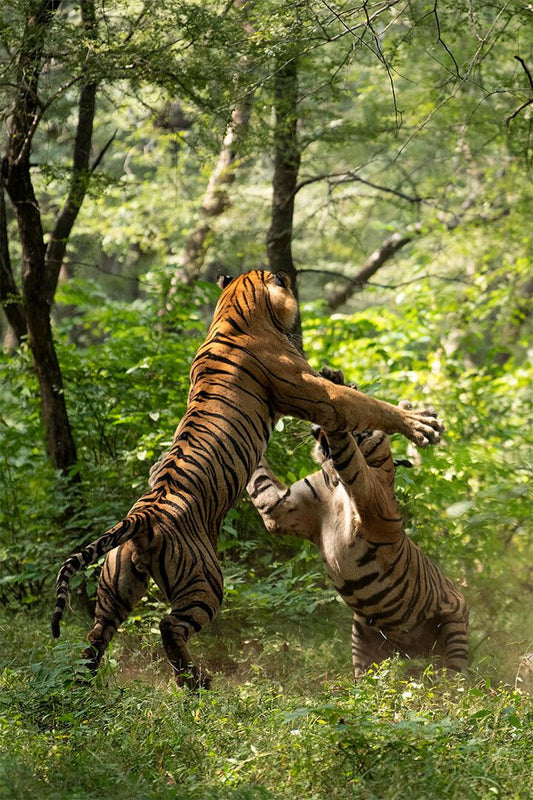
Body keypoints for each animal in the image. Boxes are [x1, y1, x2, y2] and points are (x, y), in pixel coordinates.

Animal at [51, 270, 444, 689]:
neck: (235, 310)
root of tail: (143, 518)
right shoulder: (319, 395)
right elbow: (371, 406)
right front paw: (421, 423)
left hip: (116, 585)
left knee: (96, 634)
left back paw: (84, 683)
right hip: (205, 581)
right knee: (169, 626)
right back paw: (197, 680)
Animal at [247, 367, 468, 679]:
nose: (314, 427)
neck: (334, 482)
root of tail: (413, 651)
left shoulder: (368, 492)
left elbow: (348, 451)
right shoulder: (281, 508)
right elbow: (258, 479)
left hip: (454, 625)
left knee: (457, 674)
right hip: (362, 637)